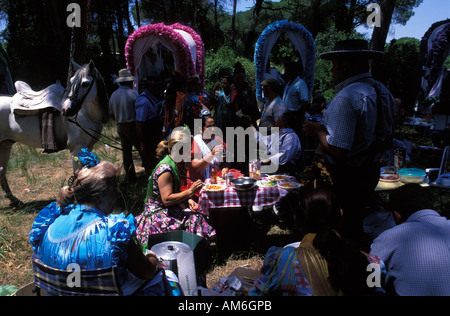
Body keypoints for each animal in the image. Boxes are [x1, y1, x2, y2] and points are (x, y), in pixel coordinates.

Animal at [0, 60, 109, 206]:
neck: (85, 113)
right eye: (72, 81)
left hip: (5, 145)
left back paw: (14, 200)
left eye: (85, 83)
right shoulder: (76, 149)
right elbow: (77, 172)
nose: (67, 109)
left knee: (1, 171)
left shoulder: (88, 147)